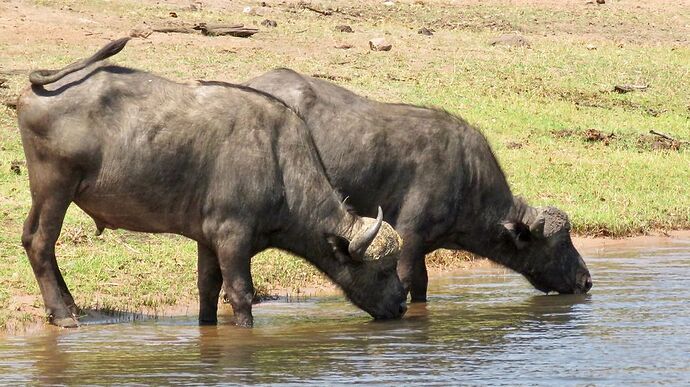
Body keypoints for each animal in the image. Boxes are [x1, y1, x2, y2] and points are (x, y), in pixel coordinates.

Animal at [17, 38, 408, 328]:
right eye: (384, 269)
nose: (402, 305)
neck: (279, 161)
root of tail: (42, 87)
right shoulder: (232, 237)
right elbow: (239, 292)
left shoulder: (208, 239)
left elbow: (207, 288)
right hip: (56, 187)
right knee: (40, 242)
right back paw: (62, 314)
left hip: (44, 192)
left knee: (30, 237)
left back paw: (68, 304)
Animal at [243, 68, 592, 302]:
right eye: (561, 243)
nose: (587, 281)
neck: (467, 177)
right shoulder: (409, 236)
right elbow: (406, 279)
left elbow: (422, 285)